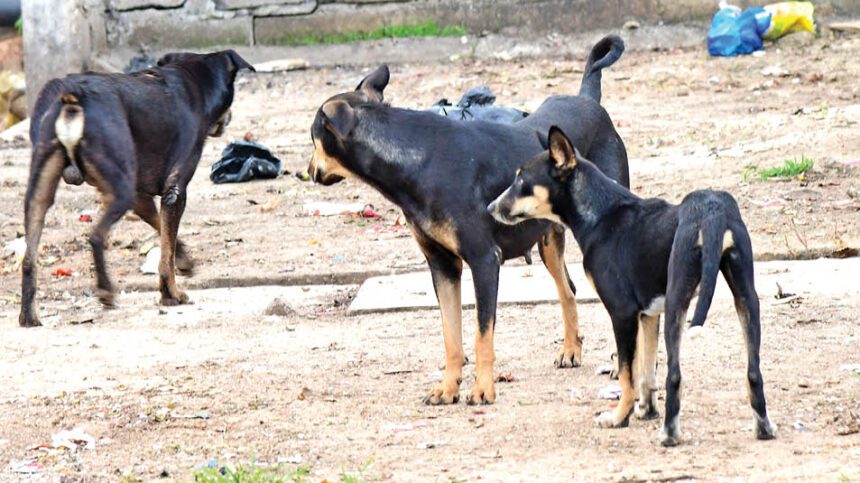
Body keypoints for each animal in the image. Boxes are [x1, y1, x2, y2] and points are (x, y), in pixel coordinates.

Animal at [19, 50, 255, 328]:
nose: (229, 118)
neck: (195, 80)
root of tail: (74, 94)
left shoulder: (141, 198)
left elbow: (164, 235)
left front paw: (184, 261)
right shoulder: (175, 191)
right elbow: (166, 253)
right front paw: (171, 294)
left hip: (39, 192)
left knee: (29, 258)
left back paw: (28, 316)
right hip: (121, 191)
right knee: (95, 237)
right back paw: (106, 291)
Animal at [310, 35, 632, 404]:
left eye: (312, 137)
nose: (306, 170)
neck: (416, 160)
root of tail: (588, 99)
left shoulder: (484, 260)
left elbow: (481, 334)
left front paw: (482, 390)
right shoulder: (443, 266)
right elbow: (451, 336)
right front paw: (448, 388)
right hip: (548, 240)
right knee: (568, 290)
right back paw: (570, 350)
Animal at [490, 127, 780, 446]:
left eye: (521, 180)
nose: (490, 208)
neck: (600, 213)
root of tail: (711, 211)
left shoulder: (623, 313)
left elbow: (627, 375)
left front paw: (619, 417)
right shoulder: (649, 314)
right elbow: (646, 372)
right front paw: (646, 410)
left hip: (679, 305)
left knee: (675, 376)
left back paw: (669, 434)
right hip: (746, 299)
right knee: (754, 373)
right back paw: (763, 427)